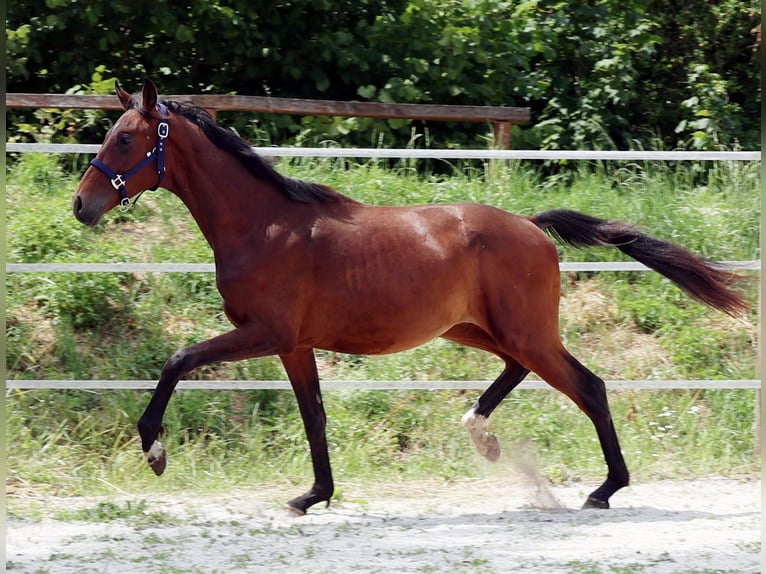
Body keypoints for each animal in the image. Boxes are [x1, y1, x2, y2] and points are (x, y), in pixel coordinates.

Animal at [73, 78, 748, 514]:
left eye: (126, 140)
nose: (82, 206)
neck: (262, 224)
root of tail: (531, 225)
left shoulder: (265, 333)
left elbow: (177, 360)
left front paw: (154, 448)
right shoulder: (294, 345)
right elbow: (314, 415)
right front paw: (313, 496)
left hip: (522, 330)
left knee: (590, 387)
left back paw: (604, 489)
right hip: (478, 329)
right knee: (522, 371)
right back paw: (483, 434)